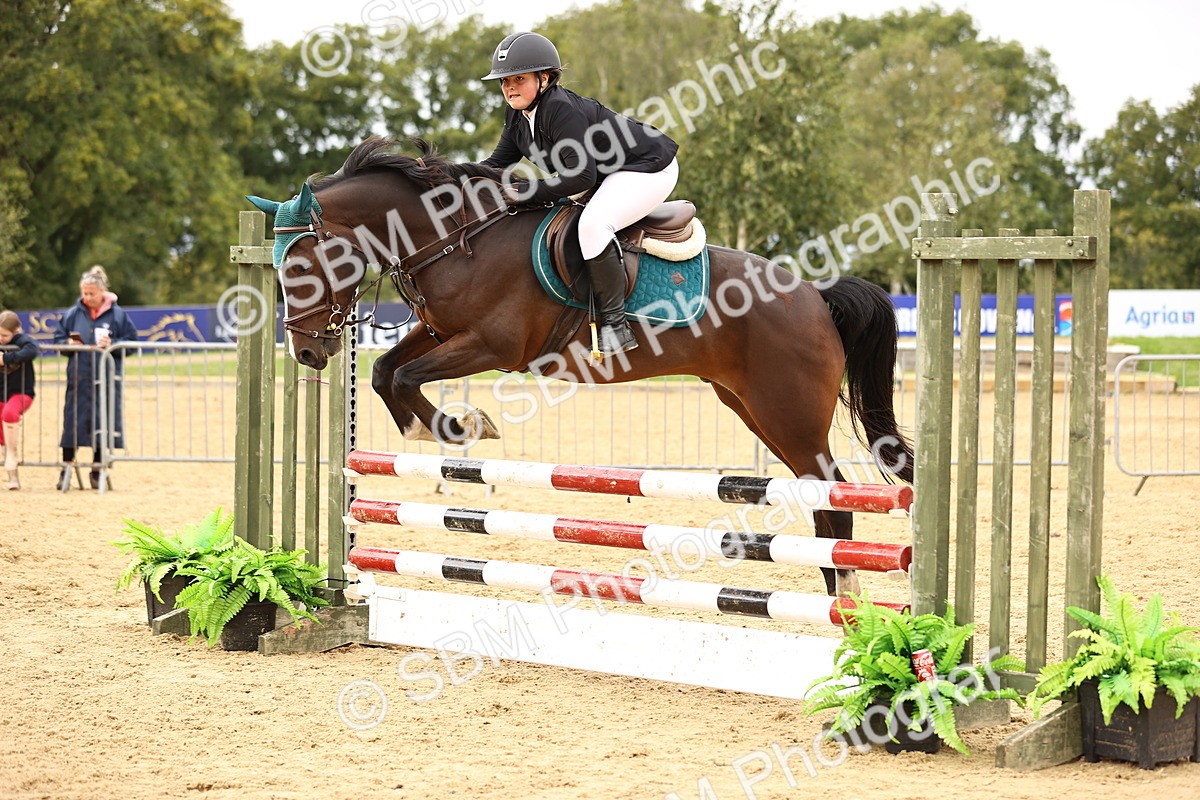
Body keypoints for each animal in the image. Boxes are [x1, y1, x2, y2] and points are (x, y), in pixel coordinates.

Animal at [248, 136, 914, 597]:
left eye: (300, 265)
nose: (307, 353)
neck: (456, 240)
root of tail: (815, 297)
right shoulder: (438, 332)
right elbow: (388, 371)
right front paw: (444, 429)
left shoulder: (493, 345)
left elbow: (408, 377)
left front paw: (460, 428)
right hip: (751, 407)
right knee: (819, 496)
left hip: (789, 413)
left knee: (833, 496)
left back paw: (849, 601)